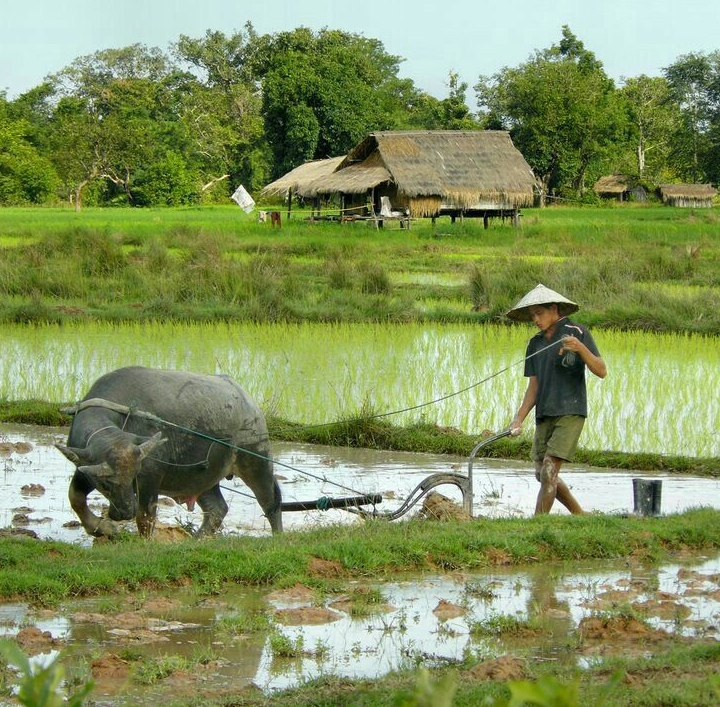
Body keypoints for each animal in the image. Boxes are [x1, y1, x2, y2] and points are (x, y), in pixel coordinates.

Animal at [56, 368, 282, 540]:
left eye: (134, 475)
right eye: (104, 484)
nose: (124, 512)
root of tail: (250, 404)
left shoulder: (149, 478)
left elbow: (145, 517)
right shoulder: (85, 469)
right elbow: (74, 497)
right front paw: (103, 529)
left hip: (256, 461)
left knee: (270, 501)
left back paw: (278, 536)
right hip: (200, 477)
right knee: (217, 508)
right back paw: (197, 538)